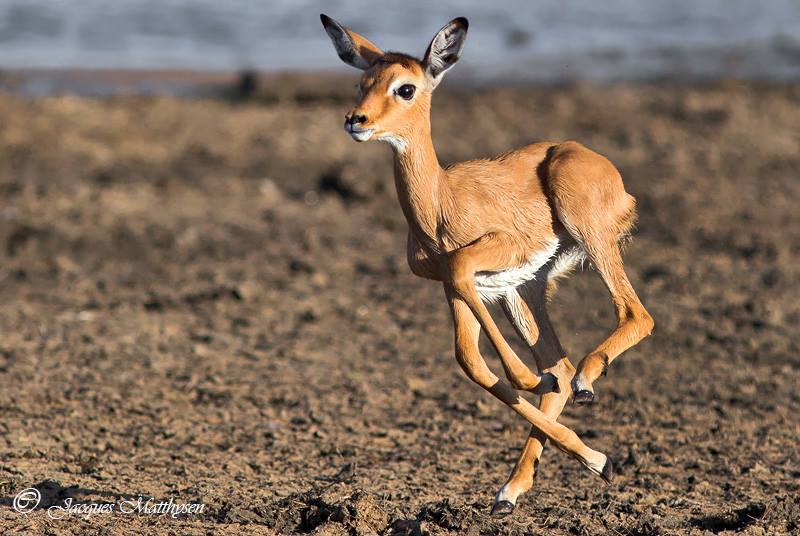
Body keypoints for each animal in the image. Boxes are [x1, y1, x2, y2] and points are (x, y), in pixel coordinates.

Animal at [318, 13, 648, 516]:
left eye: (405, 88)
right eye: (362, 82)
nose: (356, 120)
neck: (441, 204)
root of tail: (609, 172)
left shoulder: (480, 263)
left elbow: (484, 344)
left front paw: (529, 377)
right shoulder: (461, 287)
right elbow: (470, 361)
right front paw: (593, 454)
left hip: (587, 241)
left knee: (633, 315)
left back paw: (586, 387)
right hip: (526, 289)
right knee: (561, 365)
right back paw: (524, 486)